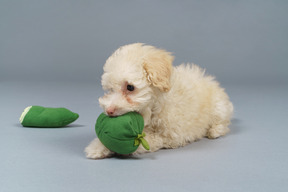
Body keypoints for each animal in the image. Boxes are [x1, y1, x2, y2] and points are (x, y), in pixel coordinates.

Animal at [84, 43, 233, 159]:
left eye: (130, 87)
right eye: (110, 89)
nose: (109, 110)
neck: (154, 107)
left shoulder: (171, 136)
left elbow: (149, 139)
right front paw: (97, 147)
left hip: (219, 107)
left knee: (222, 122)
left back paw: (214, 131)